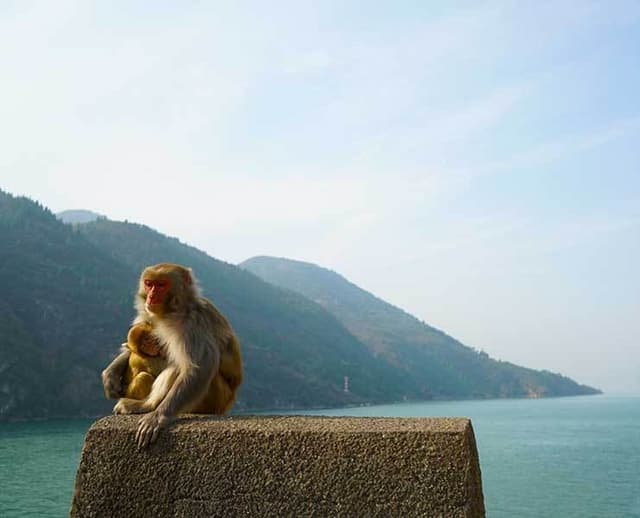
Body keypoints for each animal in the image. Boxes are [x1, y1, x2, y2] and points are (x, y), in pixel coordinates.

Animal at [101, 263, 243, 448]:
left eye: (161, 285)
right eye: (149, 284)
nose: (151, 297)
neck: (172, 312)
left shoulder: (193, 322)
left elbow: (199, 367)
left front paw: (158, 416)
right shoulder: (149, 315)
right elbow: (131, 346)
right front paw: (110, 375)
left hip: (214, 398)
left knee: (178, 367)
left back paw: (147, 406)